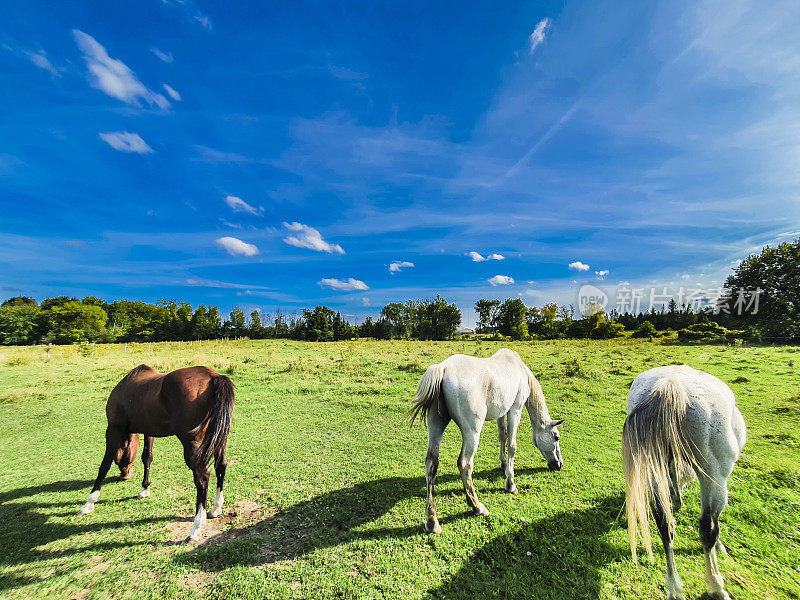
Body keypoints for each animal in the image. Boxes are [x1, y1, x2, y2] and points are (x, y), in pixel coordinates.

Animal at [77, 366, 234, 544]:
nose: (125, 475)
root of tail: (213, 377)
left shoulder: (113, 429)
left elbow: (104, 465)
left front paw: (89, 502)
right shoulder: (148, 430)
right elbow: (147, 457)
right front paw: (145, 488)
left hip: (193, 445)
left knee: (202, 477)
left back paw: (196, 528)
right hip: (219, 438)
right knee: (221, 466)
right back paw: (216, 508)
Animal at [410, 346, 564, 536]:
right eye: (556, 437)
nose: (559, 464)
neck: (519, 368)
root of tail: (443, 368)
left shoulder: (503, 411)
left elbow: (502, 436)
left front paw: (504, 464)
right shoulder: (516, 409)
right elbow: (512, 445)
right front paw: (510, 484)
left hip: (436, 424)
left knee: (431, 463)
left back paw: (432, 521)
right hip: (472, 431)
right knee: (465, 464)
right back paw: (477, 507)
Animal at [620, 366, 748, 600]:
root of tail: (670, 384)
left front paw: (677, 499)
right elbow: (713, 526)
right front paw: (719, 548)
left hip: (655, 462)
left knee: (664, 523)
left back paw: (674, 588)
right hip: (715, 474)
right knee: (707, 528)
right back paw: (715, 585)